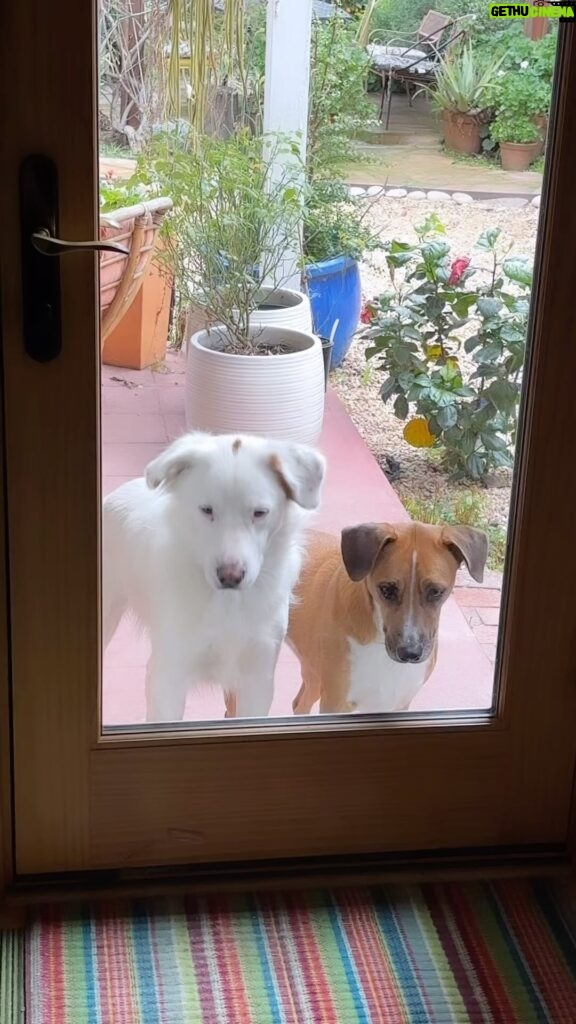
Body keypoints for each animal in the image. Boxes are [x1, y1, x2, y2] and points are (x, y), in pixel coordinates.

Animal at [101, 432, 323, 720]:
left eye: (259, 512)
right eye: (206, 510)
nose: (230, 576)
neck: (227, 604)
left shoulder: (258, 676)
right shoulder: (168, 675)